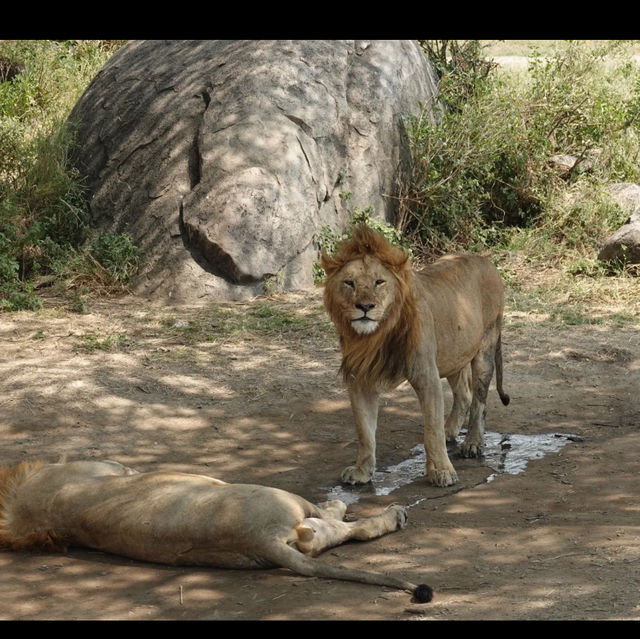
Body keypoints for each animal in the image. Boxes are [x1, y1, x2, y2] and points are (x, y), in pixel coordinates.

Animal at [322, 228, 512, 488]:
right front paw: (362, 471)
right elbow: (364, 431)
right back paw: (451, 430)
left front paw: (442, 472)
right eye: (349, 283)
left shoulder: (426, 376)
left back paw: (472, 443)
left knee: (479, 400)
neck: (377, 335)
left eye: (379, 282)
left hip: (485, 345)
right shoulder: (361, 380)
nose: (365, 306)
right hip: (454, 352)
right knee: (464, 393)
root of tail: (485, 260)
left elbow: (431, 430)